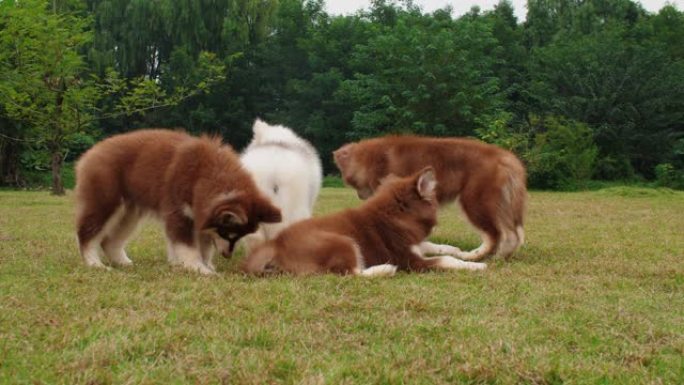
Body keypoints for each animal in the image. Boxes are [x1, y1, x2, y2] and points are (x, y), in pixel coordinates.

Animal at [77, 129, 284, 272]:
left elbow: (204, 246)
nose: (227, 256)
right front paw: (199, 268)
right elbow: (187, 246)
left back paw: (123, 262)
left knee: (109, 241)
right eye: (228, 234)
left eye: (239, 237)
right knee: (87, 234)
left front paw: (205, 264)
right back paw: (94, 263)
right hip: (105, 202)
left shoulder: (201, 215)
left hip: (129, 213)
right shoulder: (180, 213)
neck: (207, 174)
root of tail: (92, 151)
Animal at [242, 168, 486, 276]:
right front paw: (476, 265)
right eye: (434, 201)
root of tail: (275, 243)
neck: (396, 216)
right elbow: (445, 259)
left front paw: (465, 253)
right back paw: (384, 269)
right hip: (343, 241)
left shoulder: (416, 244)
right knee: (352, 272)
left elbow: (442, 247)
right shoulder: (410, 261)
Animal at [334, 136, 528, 260]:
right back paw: (502, 255)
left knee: (496, 234)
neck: (372, 159)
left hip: (475, 202)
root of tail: (505, 155)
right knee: (513, 234)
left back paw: (476, 255)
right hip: (499, 204)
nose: (360, 196)